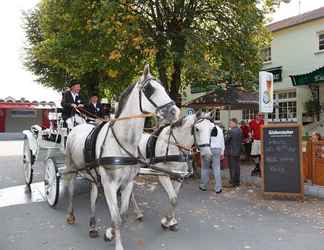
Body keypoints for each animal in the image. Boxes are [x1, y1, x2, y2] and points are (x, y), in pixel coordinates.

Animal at [63, 65, 180, 250]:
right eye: (149, 89)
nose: (175, 112)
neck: (122, 142)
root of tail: (77, 126)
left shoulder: (127, 183)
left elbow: (122, 216)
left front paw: (109, 233)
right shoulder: (110, 185)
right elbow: (117, 218)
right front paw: (116, 242)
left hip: (93, 174)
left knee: (93, 196)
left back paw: (93, 226)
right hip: (72, 168)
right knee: (71, 189)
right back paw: (70, 215)